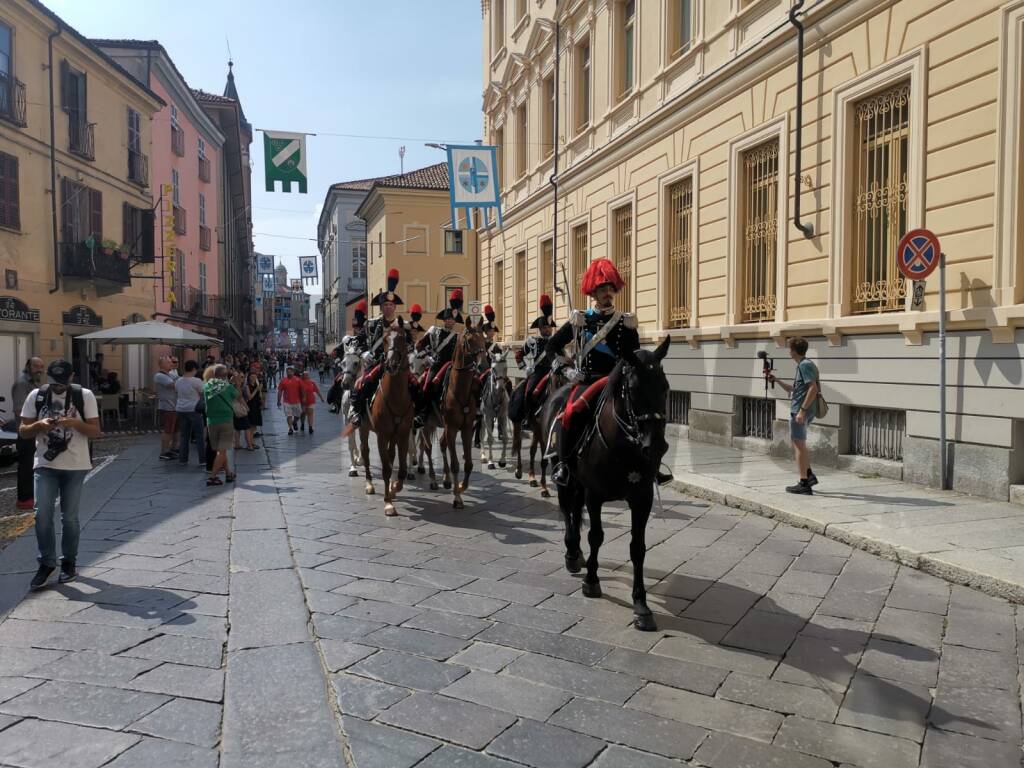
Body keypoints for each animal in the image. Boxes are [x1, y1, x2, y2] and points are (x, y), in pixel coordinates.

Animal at [356, 323, 411, 518]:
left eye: (403, 337)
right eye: (385, 339)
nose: (391, 364)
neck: (395, 396)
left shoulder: (403, 435)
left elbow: (402, 468)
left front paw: (395, 488)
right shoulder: (382, 435)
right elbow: (386, 469)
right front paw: (388, 503)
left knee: (391, 455)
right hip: (364, 429)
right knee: (365, 452)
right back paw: (369, 484)